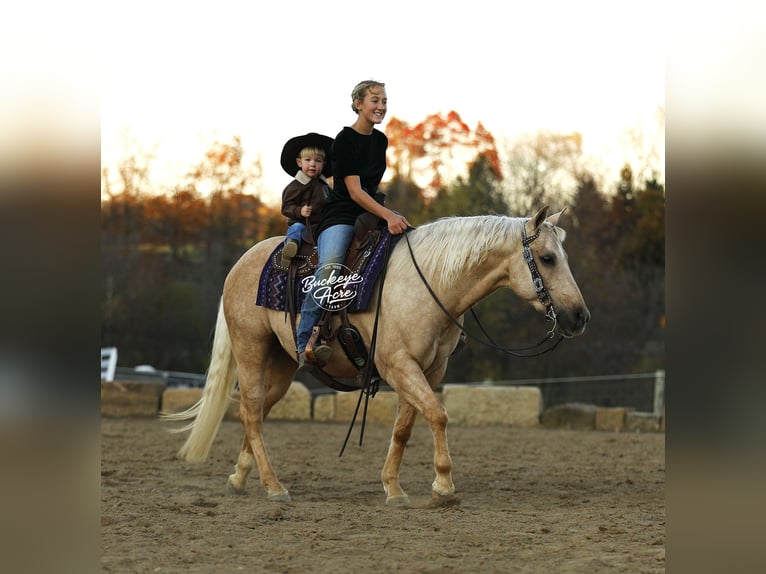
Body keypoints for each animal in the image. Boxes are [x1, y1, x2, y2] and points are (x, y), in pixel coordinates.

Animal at [163, 206, 590, 505]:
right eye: (548, 258)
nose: (579, 316)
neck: (430, 283)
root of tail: (241, 263)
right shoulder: (399, 364)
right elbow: (438, 414)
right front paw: (443, 485)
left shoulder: (428, 371)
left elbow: (405, 427)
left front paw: (394, 489)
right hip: (251, 349)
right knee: (251, 411)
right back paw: (274, 487)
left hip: (283, 363)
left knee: (256, 413)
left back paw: (239, 477)